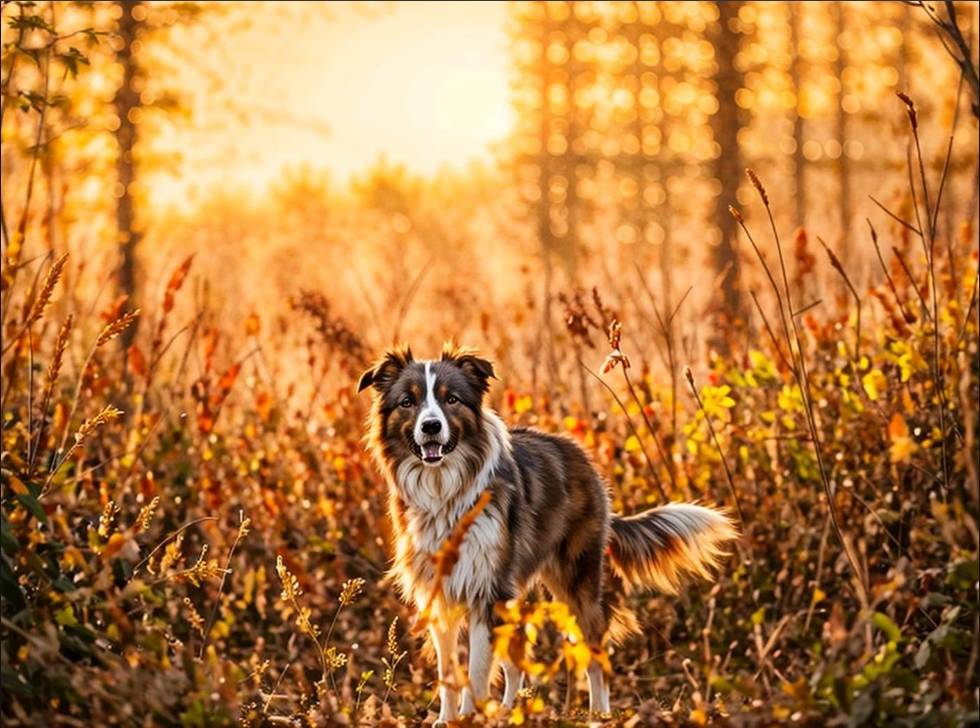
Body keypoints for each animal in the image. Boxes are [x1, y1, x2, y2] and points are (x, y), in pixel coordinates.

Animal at [358, 346, 736, 724]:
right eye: (408, 402)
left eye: (451, 399)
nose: (431, 426)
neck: (443, 490)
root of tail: (581, 455)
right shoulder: (440, 595)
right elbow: (449, 670)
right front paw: (448, 720)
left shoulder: (487, 591)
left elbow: (477, 671)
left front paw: (470, 717)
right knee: (516, 664)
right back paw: (510, 710)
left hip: (577, 580)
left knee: (595, 651)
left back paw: (598, 713)